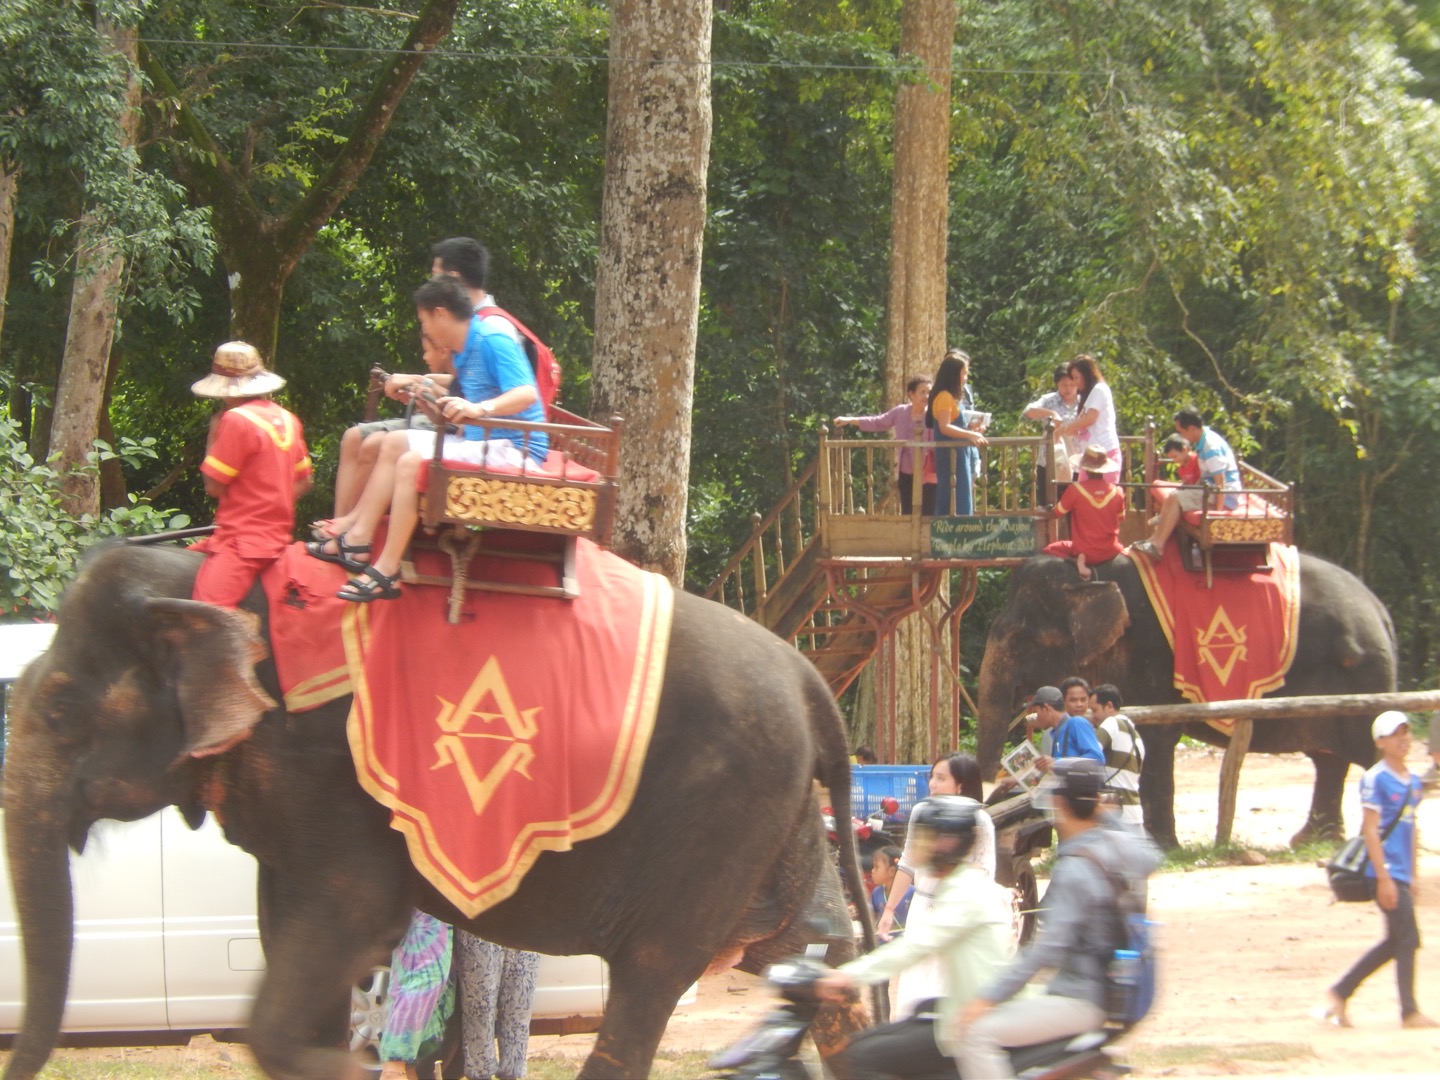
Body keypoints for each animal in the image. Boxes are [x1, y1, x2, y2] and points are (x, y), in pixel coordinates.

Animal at [3, 543, 871, 1080]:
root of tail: (811, 680)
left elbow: (351, 913)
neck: (207, 578)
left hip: (721, 819)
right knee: (818, 958)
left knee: (650, 978)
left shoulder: (325, 770)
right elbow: (289, 925)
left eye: (60, 710)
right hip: (781, 824)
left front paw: (347, 1069)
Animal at [976, 553, 1395, 849]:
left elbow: (1156, 740)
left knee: (1366, 753)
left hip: (1363, 678)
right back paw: (1314, 841)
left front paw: (1161, 847)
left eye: (1020, 639)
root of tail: (1381, 612)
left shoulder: (1152, 657)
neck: (1091, 575)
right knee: (1330, 761)